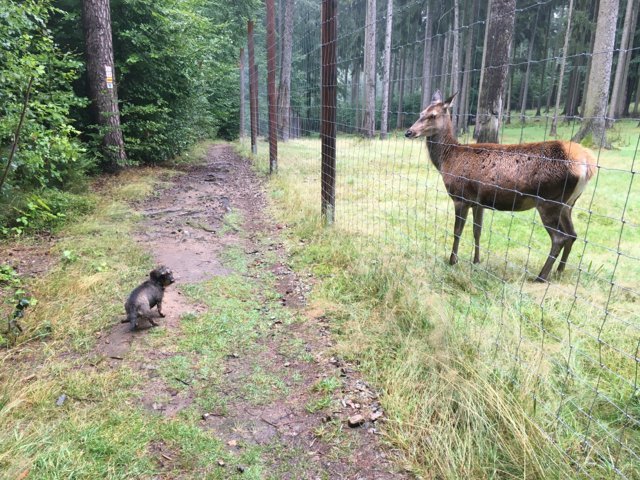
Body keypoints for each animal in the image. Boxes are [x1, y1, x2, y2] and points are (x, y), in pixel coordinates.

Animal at [408, 91, 596, 282]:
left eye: (433, 115)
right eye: (421, 112)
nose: (409, 132)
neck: (447, 160)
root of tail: (587, 164)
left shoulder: (460, 197)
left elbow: (457, 231)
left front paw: (452, 261)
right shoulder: (479, 202)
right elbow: (477, 231)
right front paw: (476, 261)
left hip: (549, 201)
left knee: (560, 237)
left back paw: (541, 276)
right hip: (568, 203)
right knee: (572, 234)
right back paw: (559, 271)